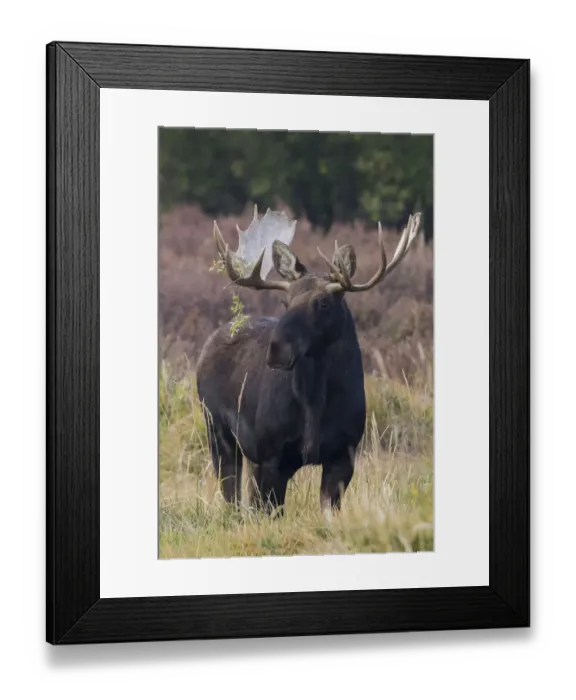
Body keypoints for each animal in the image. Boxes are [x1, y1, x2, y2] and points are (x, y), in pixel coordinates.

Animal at [196, 206, 422, 517]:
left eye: (324, 303)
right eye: (285, 302)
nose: (277, 349)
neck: (315, 407)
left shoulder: (344, 455)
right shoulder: (272, 456)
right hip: (216, 427)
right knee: (231, 492)